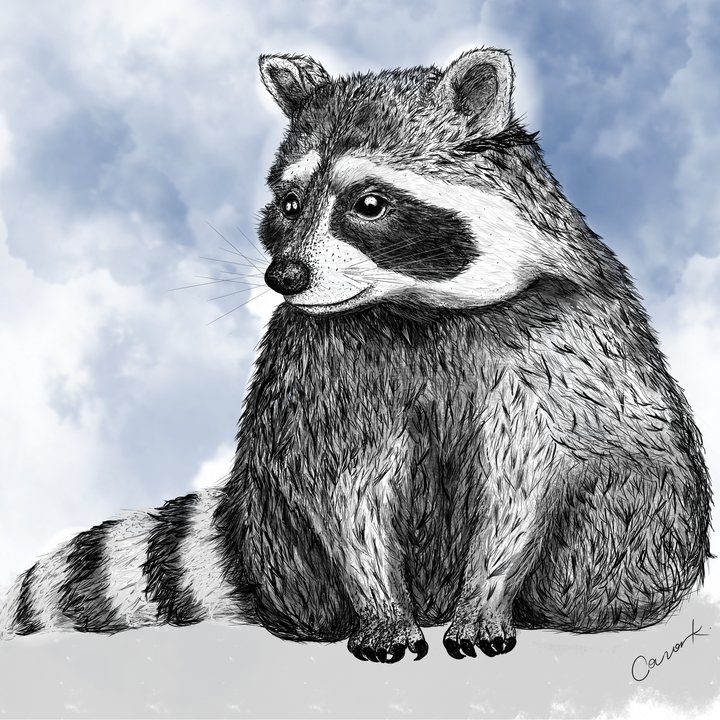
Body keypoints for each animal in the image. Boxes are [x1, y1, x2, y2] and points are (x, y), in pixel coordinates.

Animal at [0, 48, 712, 663]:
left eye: (369, 204)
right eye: (289, 206)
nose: (284, 276)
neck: (411, 306)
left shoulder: (549, 353)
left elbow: (519, 486)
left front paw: (485, 601)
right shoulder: (322, 361)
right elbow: (345, 486)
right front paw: (381, 613)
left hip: (650, 520)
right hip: (282, 535)